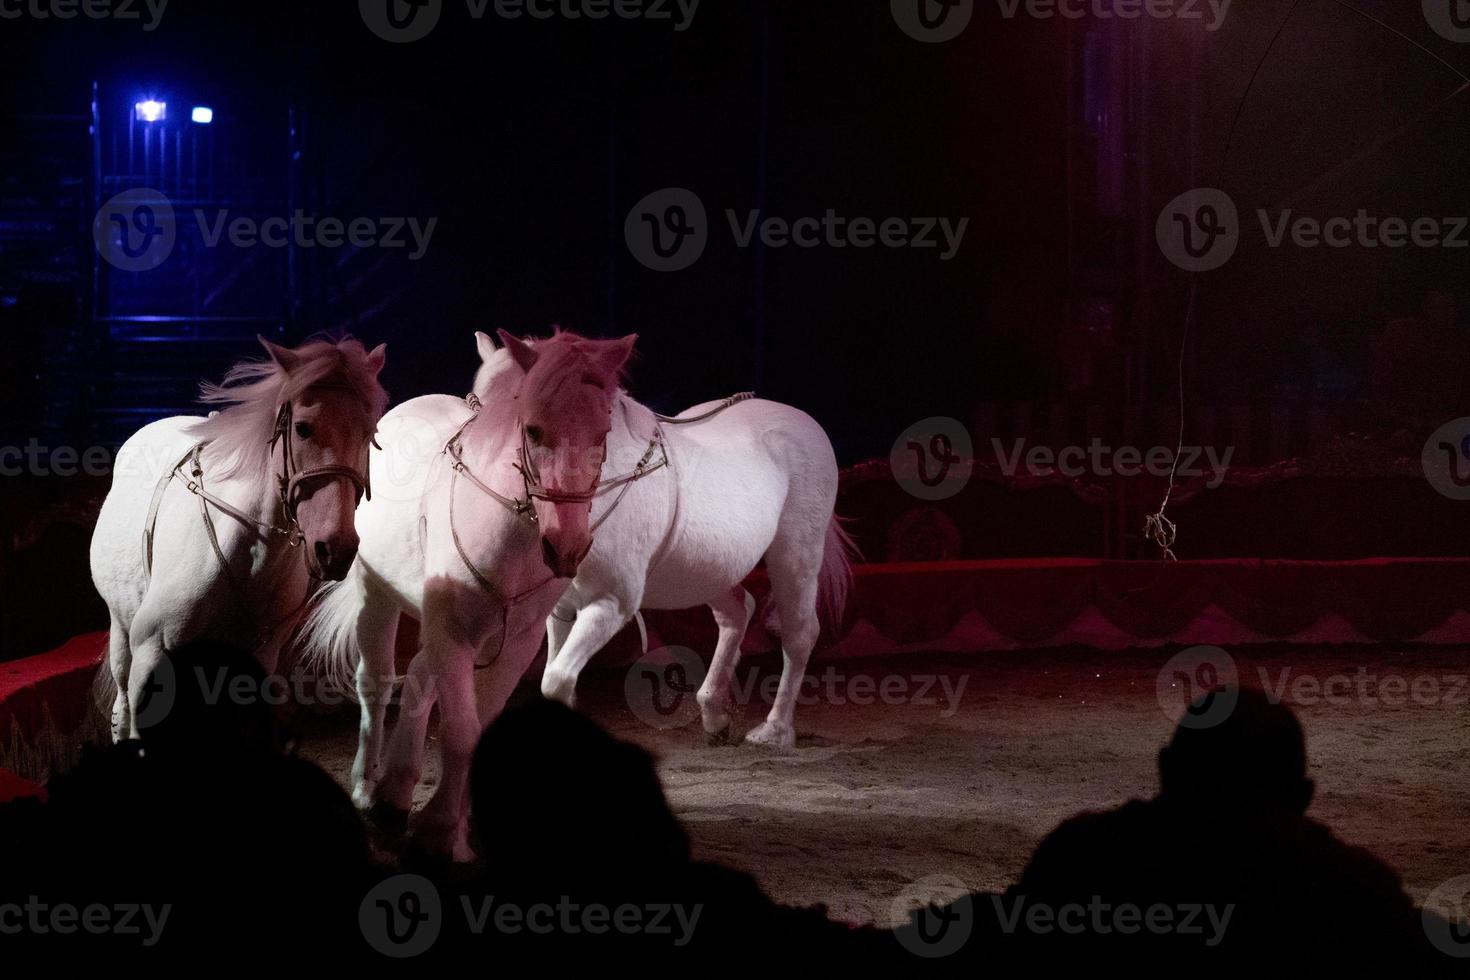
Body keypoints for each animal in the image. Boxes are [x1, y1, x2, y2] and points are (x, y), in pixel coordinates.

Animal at [88, 339, 388, 743]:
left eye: (369, 433)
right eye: (303, 428)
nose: (334, 549)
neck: (245, 557)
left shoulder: (254, 662)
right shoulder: (151, 652)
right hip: (121, 630)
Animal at [298, 329, 852, 858]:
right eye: (480, 397)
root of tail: (801, 421)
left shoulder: (609, 605)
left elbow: (556, 682)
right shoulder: (552, 612)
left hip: (795, 553)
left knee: (799, 634)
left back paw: (775, 730)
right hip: (708, 573)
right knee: (738, 612)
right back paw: (715, 712)